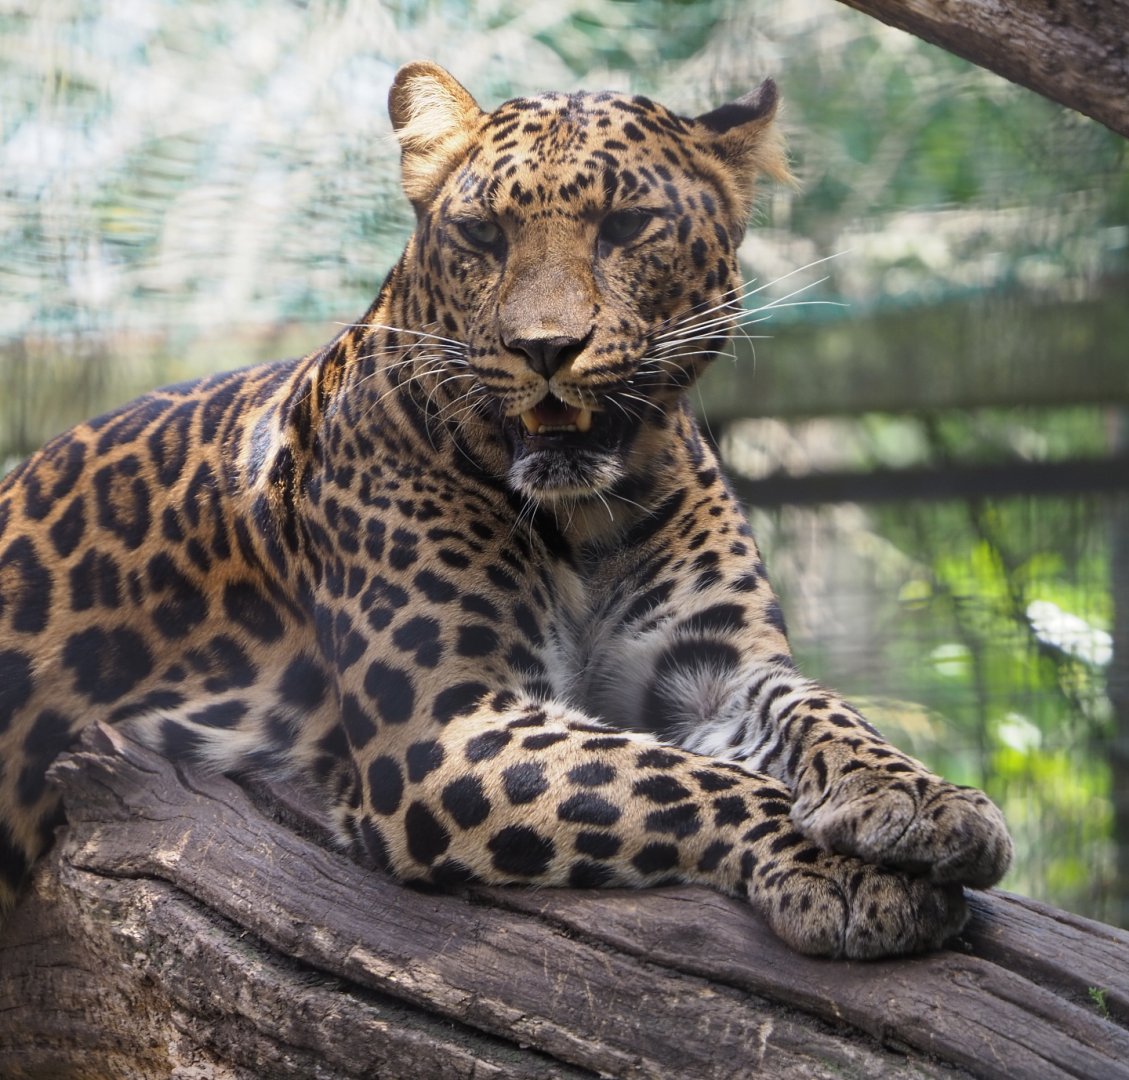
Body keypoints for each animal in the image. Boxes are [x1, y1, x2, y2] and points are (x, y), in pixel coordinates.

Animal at [0, 61, 1012, 960]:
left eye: (626, 226)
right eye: (483, 235)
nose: (546, 348)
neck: (588, 521)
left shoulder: (710, 670)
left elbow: (822, 712)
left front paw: (925, 803)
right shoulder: (444, 725)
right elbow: (682, 779)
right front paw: (846, 871)